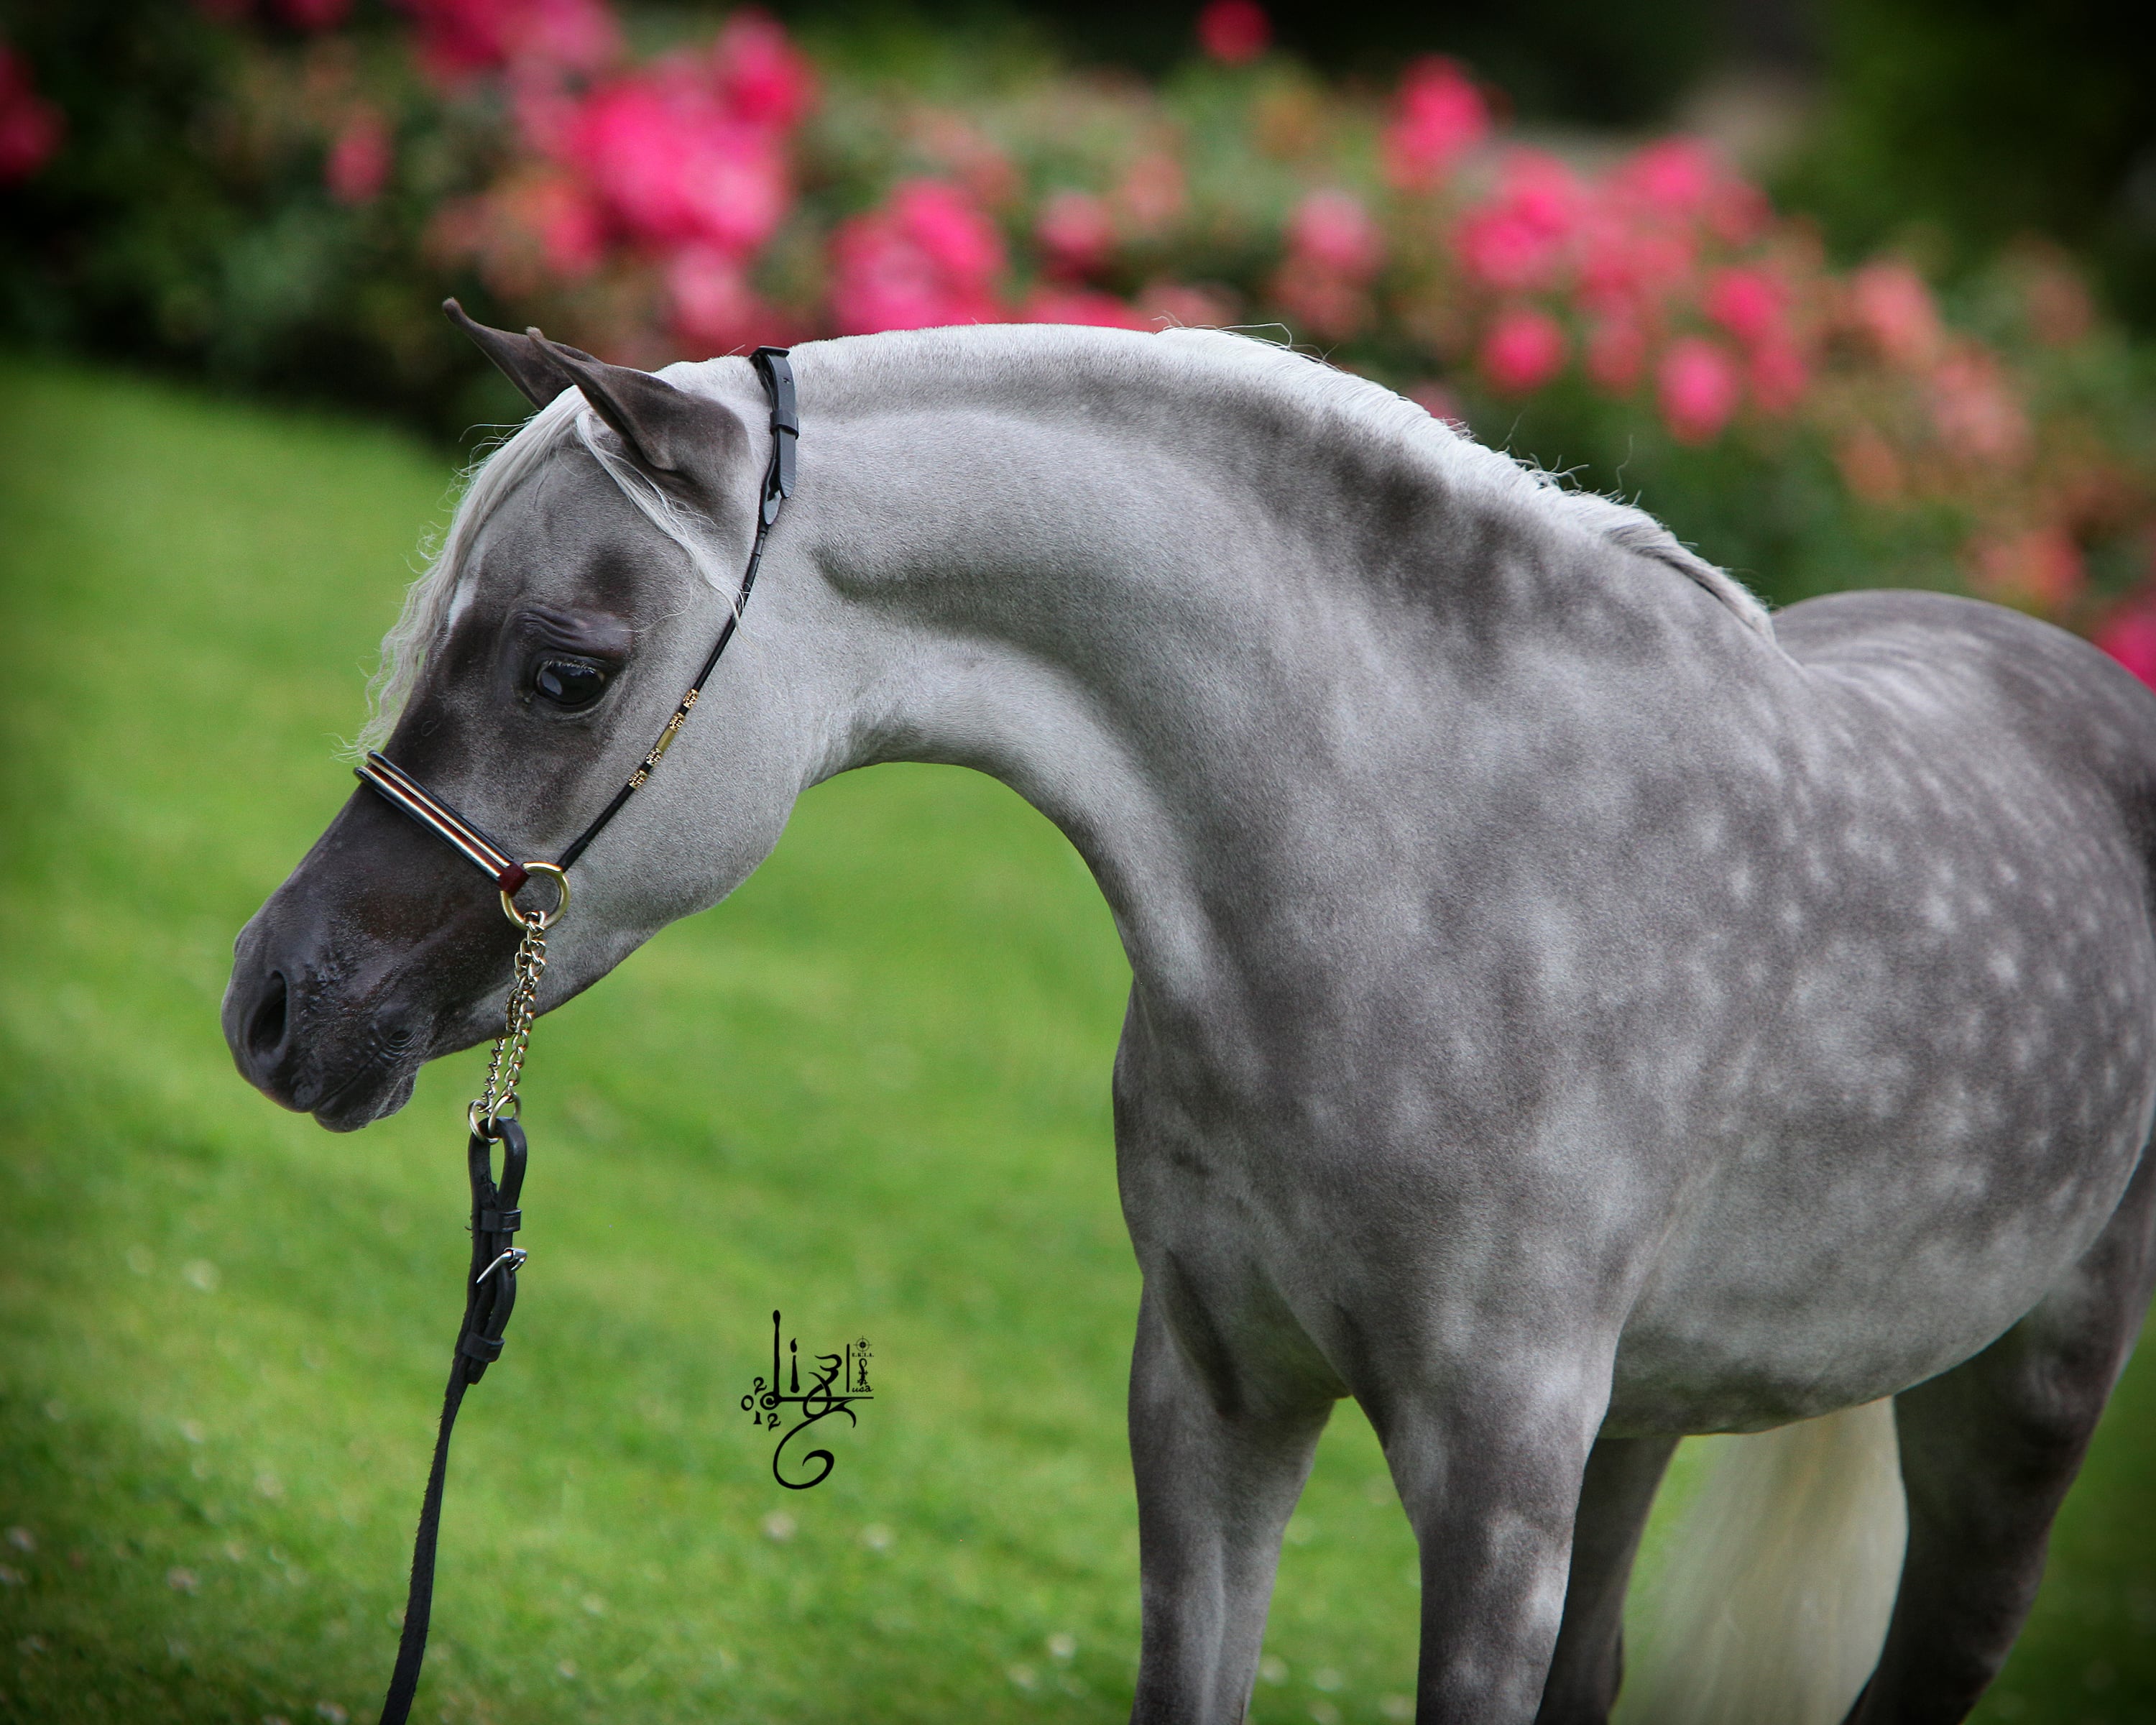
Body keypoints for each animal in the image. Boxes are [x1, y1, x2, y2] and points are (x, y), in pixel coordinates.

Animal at [222, 313, 2156, 1724]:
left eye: (565, 666)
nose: (271, 1003)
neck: (1437, 858)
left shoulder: (1498, 1473)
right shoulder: (1213, 1393)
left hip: (2018, 1407)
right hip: (1647, 1419)